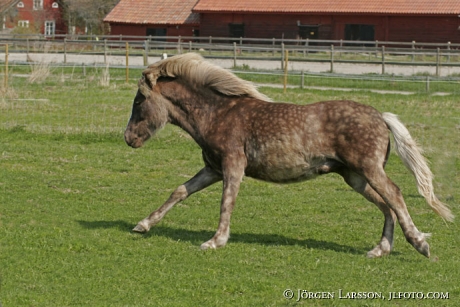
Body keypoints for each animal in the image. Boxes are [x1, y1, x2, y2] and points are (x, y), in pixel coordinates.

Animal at [125, 52, 452, 258]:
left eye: (139, 100)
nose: (129, 138)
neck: (217, 114)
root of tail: (381, 116)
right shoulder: (213, 169)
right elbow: (180, 191)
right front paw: (143, 224)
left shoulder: (233, 167)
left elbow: (226, 203)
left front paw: (215, 241)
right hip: (355, 177)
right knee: (386, 206)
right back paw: (380, 249)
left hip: (369, 170)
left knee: (395, 196)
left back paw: (420, 244)